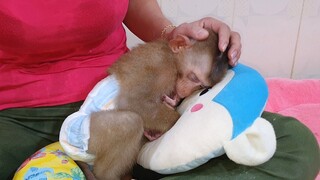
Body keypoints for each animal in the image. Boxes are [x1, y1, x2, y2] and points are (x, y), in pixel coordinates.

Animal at [79, 29, 229, 179]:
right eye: (193, 77)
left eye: (201, 86)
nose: (186, 91)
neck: (173, 58)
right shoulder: (162, 65)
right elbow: (133, 102)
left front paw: (172, 102)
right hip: (89, 137)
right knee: (131, 122)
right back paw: (103, 175)